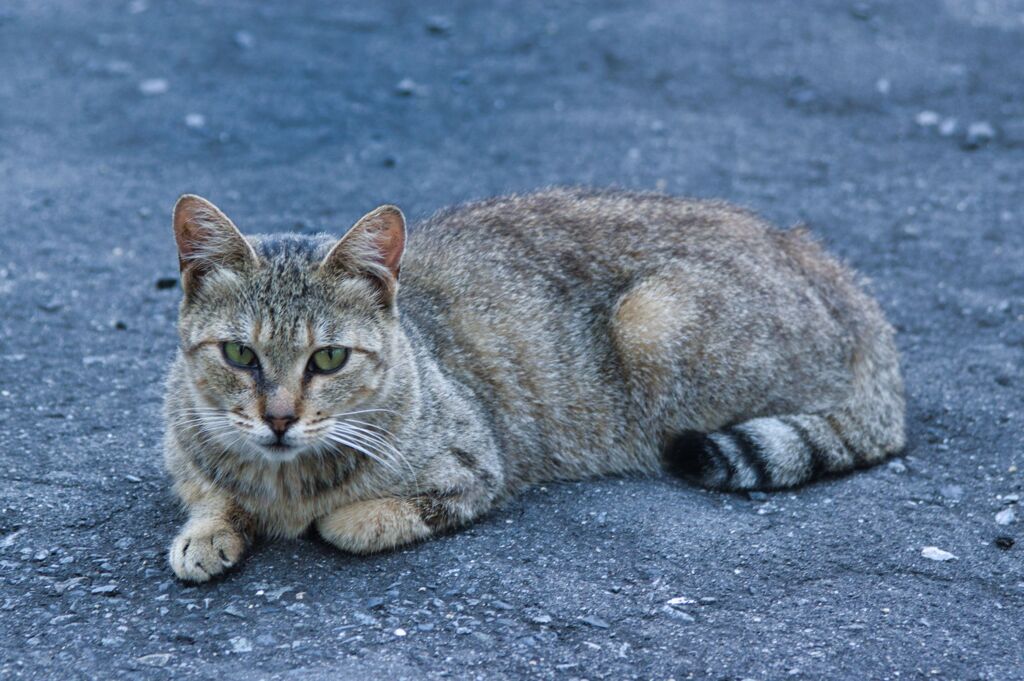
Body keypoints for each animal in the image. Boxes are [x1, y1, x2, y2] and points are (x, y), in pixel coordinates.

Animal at [163, 188, 909, 581]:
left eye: (328, 360)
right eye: (239, 353)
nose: (279, 418)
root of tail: (823, 261)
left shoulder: (474, 469)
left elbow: (354, 520)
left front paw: (329, 515)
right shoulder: (188, 445)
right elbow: (210, 490)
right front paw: (211, 529)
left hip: (656, 322)